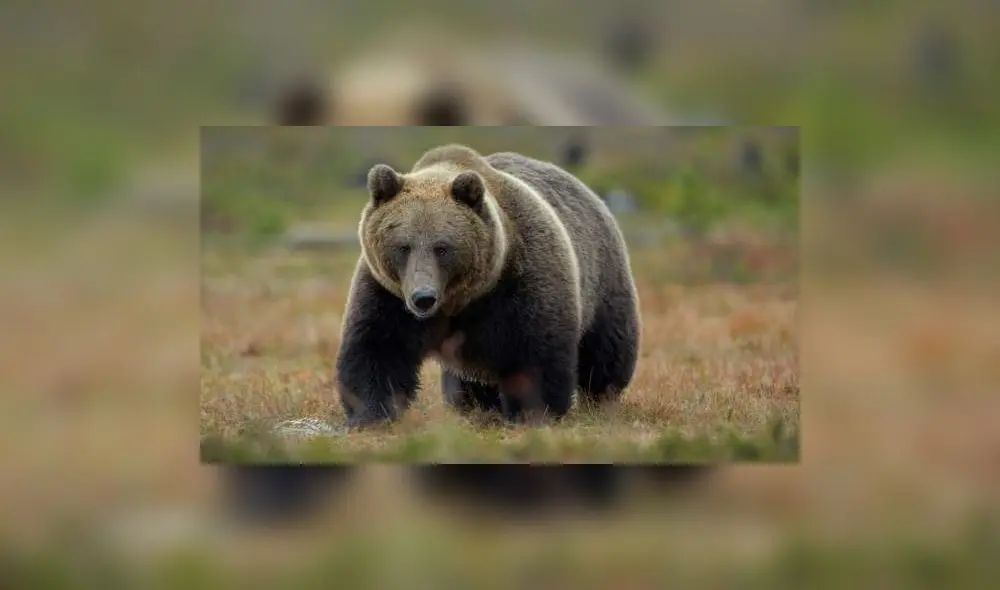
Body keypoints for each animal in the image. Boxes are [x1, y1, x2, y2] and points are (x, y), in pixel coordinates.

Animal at [335, 144, 641, 428]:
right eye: (403, 246)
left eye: (442, 247)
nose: (423, 297)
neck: (461, 299)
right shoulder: (388, 295)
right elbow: (378, 348)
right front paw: (369, 414)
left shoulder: (521, 282)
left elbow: (534, 354)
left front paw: (533, 413)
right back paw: (474, 402)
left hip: (603, 279)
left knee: (606, 350)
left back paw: (601, 398)